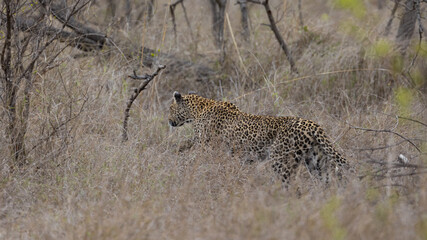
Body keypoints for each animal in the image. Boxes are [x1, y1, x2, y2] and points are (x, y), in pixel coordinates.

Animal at [167, 91, 352, 183]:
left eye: (170, 108)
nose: (168, 121)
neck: (198, 110)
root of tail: (313, 124)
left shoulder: (204, 146)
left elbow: (193, 159)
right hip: (316, 161)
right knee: (327, 182)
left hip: (281, 161)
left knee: (291, 187)